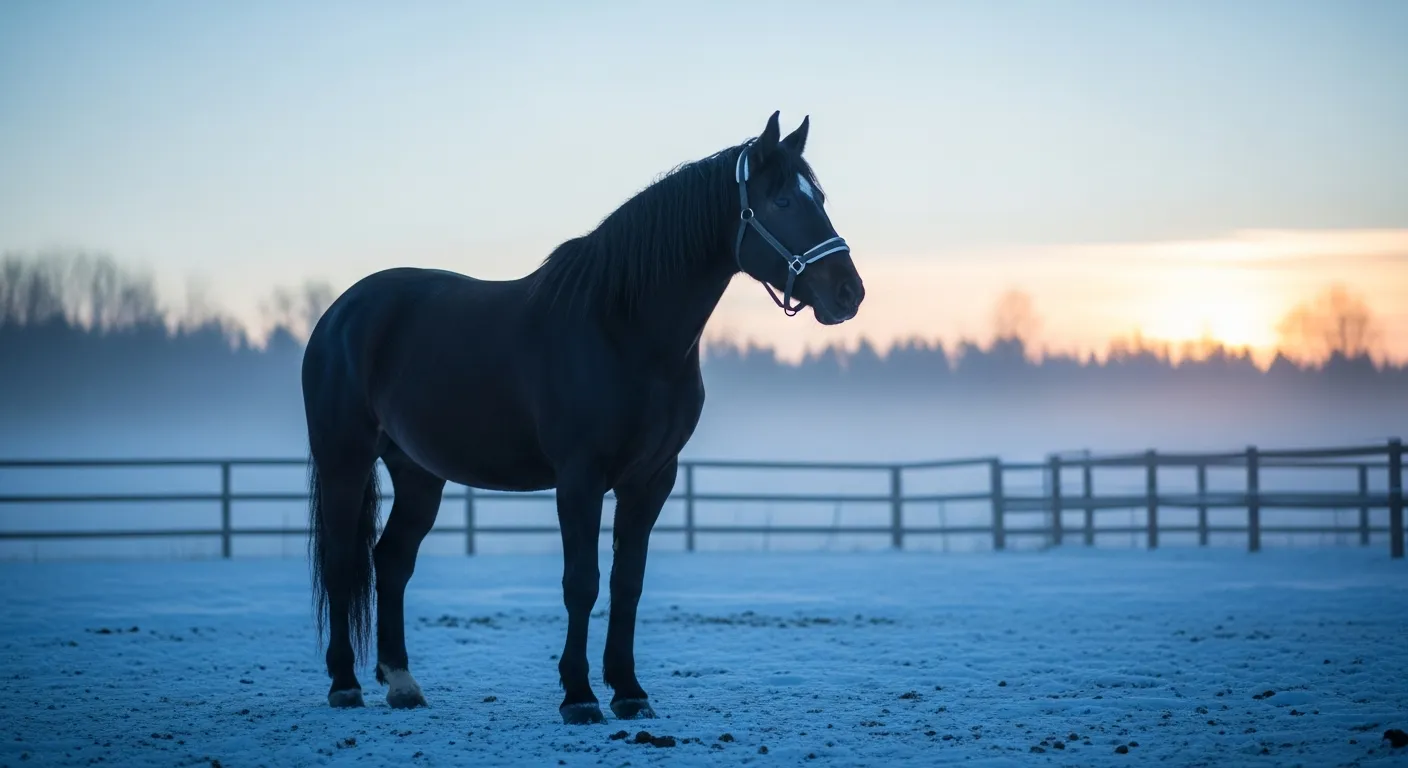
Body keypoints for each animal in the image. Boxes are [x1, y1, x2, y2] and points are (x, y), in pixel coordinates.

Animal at [301, 110, 866, 724]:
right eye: (782, 201)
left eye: (820, 198)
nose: (849, 292)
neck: (622, 330)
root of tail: (340, 314)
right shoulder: (580, 478)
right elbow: (582, 583)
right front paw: (579, 695)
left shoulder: (651, 479)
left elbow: (627, 584)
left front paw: (629, 690)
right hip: (345, 460)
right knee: (341, 560)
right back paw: (343, 683)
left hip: (418, 472)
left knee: (392, 561)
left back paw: (402, 682)